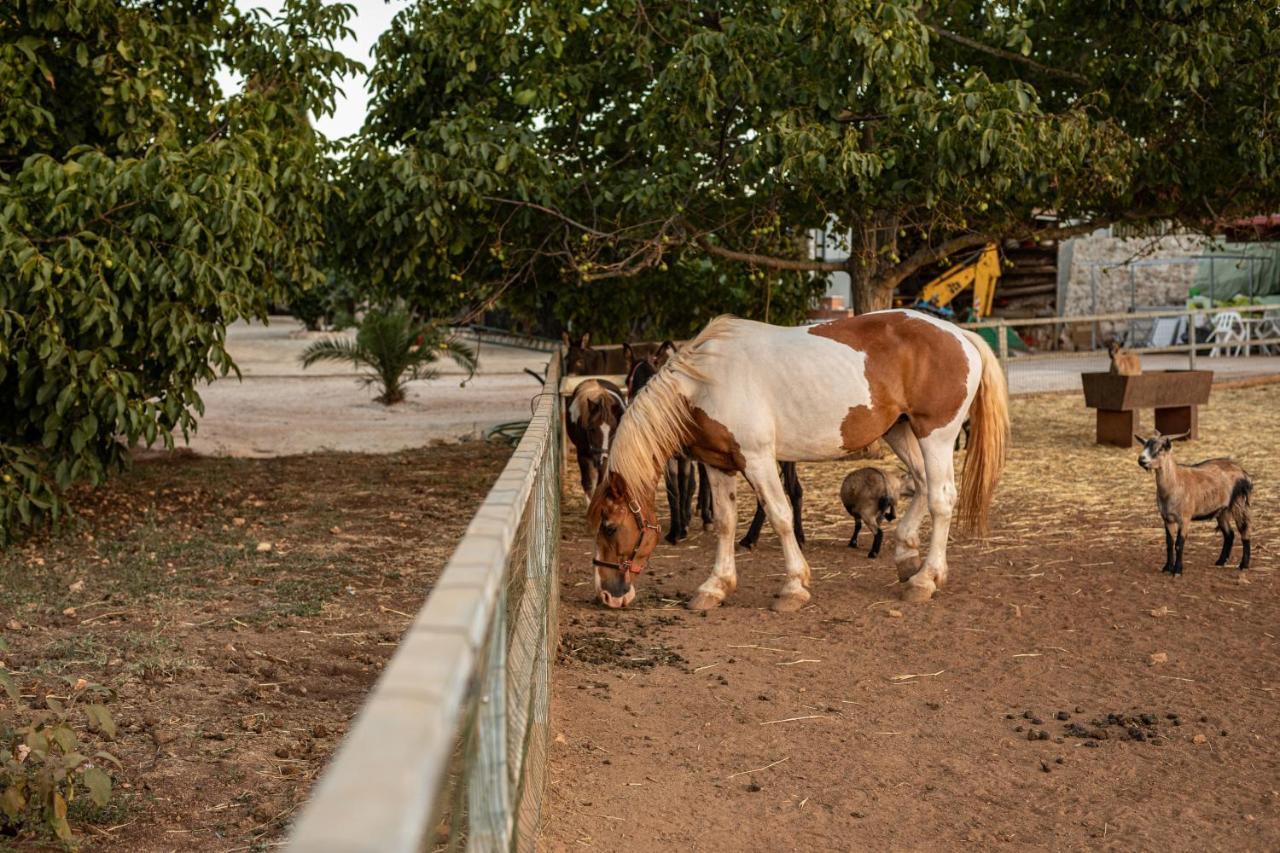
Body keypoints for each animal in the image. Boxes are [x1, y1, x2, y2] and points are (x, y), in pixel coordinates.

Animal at [588, 308, 1008, 607]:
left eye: (609, 526)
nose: (609, 594)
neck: (706, 382)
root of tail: (959, 335)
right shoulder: (718, 464)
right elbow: (724, 523)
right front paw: (716, 586)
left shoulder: (757, 460)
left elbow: (780, 515)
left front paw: (794, 586)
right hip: (900, 431)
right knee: (920, 484)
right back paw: (907, 557)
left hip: (936, 435)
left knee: (941, 498)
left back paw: (926, 579)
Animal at [1141, 432, 1249, 571]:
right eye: (1144, 446)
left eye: (1160, 449)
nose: (1141, 459)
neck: (1176, 482)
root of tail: (1242, 471)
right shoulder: (1167, 518)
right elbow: (1169, 543)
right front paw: (1167, 568)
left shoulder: (1185, 518)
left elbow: (1179, 544)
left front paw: (1177, 570)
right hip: (1222, 510)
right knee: (1229, 534)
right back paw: (1220, 562)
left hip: (1238, 503)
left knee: (1244, 530)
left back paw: (1243, 565)